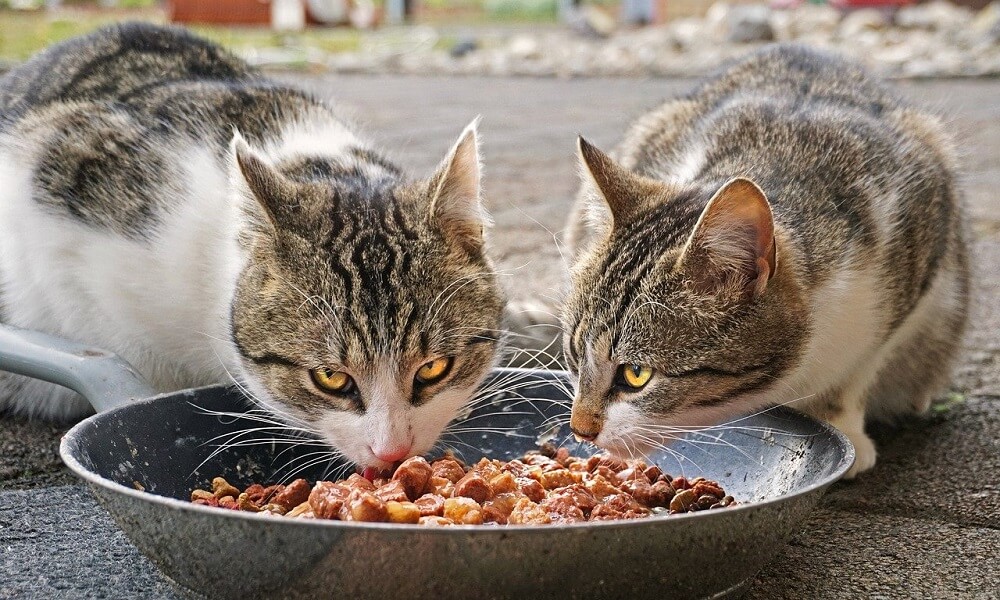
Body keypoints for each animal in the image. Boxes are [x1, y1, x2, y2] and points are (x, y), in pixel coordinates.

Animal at [560, 44, 964, 478]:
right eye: (574, 354)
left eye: (637, 375)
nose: (580, 429)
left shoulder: (920, 233)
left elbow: (857, 371)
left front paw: (843, 426)